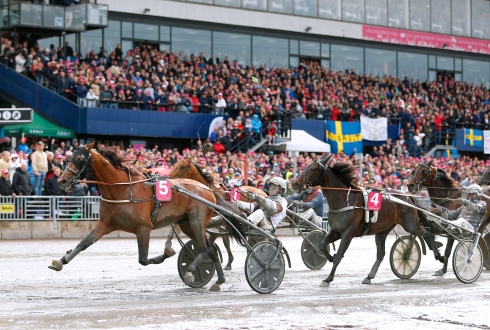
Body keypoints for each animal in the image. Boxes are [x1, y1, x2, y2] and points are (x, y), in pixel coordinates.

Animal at [49, 142, 245, 292]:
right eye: (67, 158)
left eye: (80, 159)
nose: (62, 181)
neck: (122, 189)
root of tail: (207, 189)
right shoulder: (104, 224)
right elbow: (83, 244)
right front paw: (60, 261)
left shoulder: (144, 228)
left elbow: (143, 259)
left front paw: (165, 253)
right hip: (187, 224)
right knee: (211, 249)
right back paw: (218, 281)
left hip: (197, 221)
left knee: (206, 247)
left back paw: (190, 272)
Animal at [292, 153, 442, 284]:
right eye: (306, 166)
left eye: (312, 169)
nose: (294, 183)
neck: (345, 200)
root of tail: (407, 196)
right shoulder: (335, 231)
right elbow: (322, 245)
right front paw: (329, 258)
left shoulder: (348, 233)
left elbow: (339, 255)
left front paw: (328, 278)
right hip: (382, 230)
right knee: (381, 253)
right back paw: (369, 277)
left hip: (410, 224)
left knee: (428, 232)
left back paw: (439, 256)